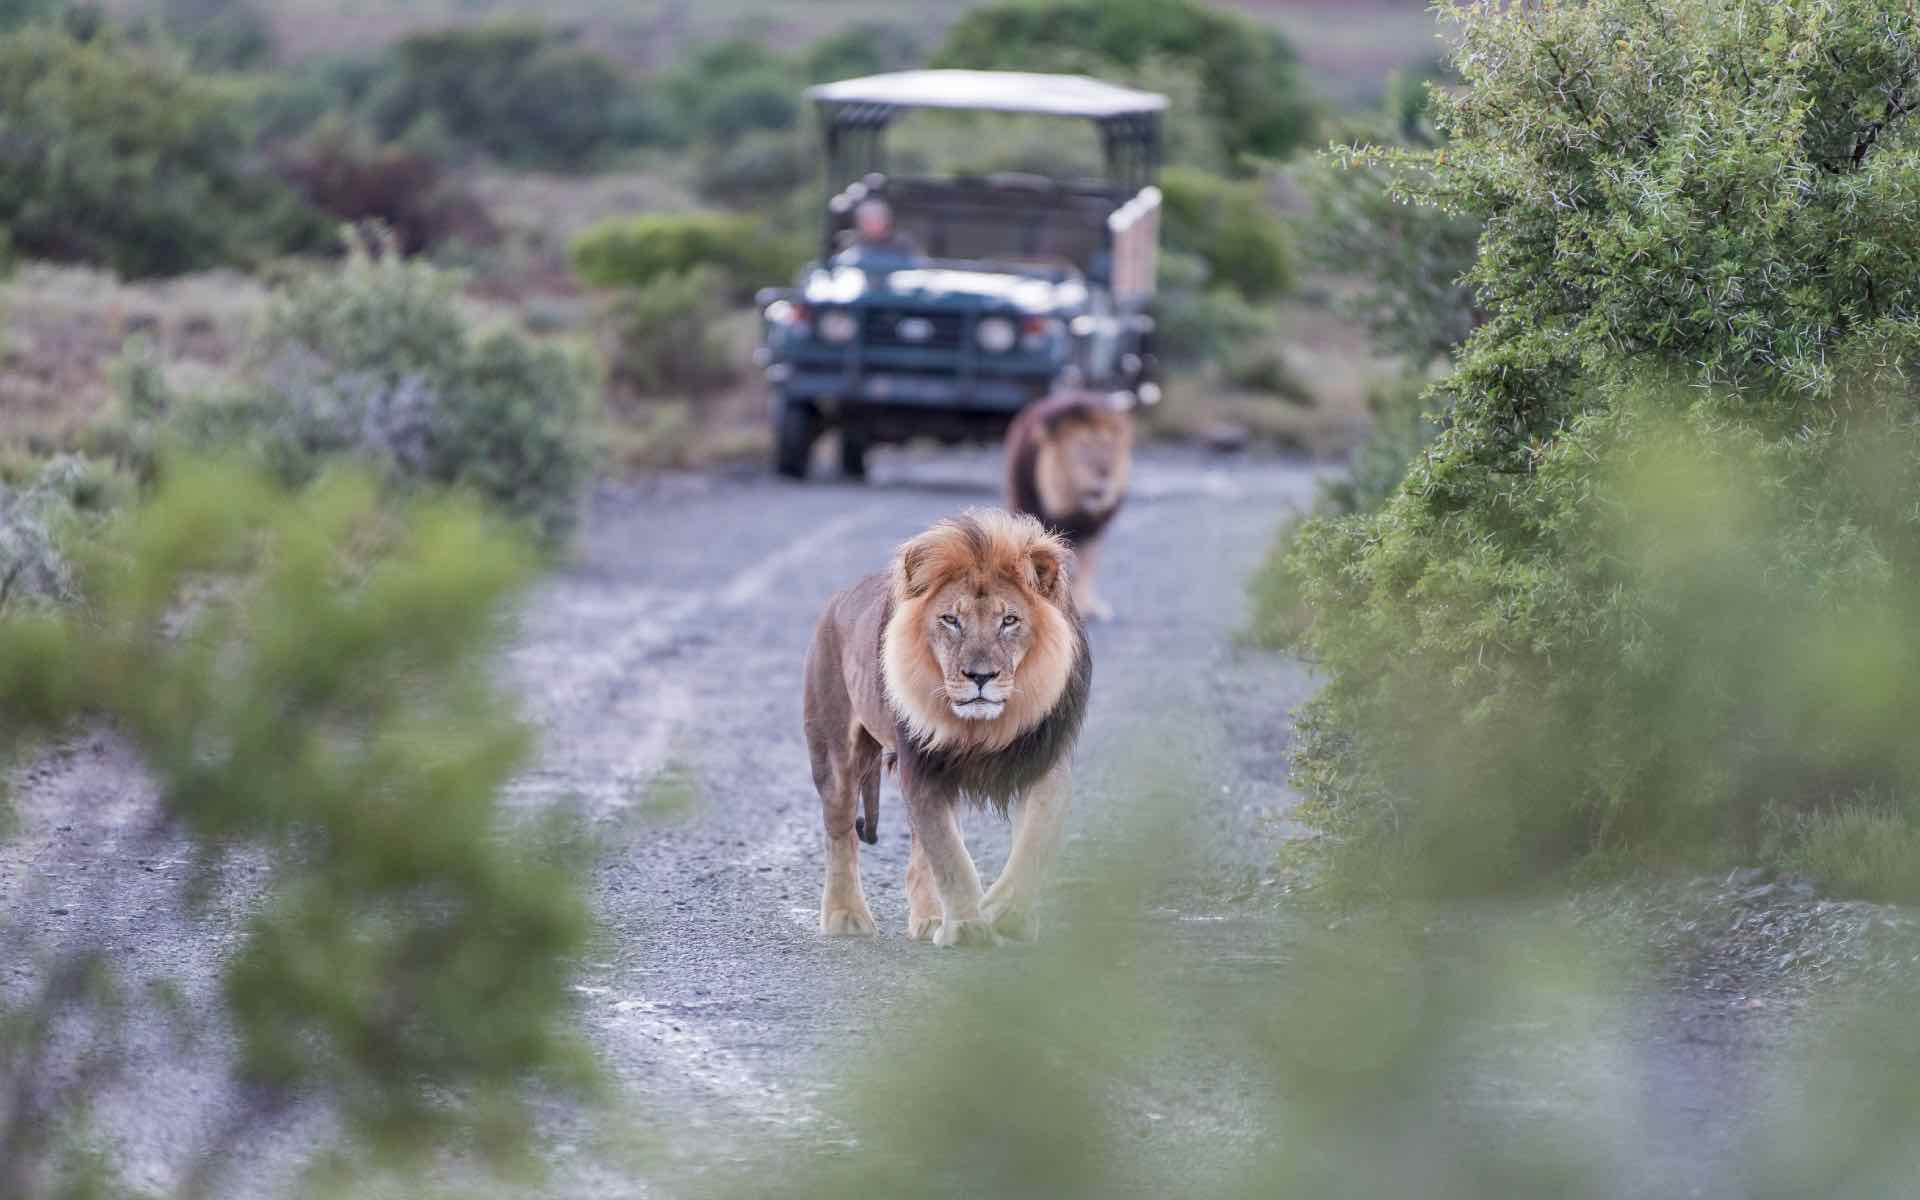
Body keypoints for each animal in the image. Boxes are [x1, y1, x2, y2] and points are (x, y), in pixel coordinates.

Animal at [801, 509, 1091, 947]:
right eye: (951, 620)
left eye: (1009, 621)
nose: (980, 676)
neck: (984, 728)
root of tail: (837, 600)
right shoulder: (922, 768)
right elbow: (950, 857)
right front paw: (969, 928)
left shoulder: (1044, 762)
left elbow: (1033, 843)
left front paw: (1004, 914)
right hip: (834, 756)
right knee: (840, 833)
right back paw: (846, 915)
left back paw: (930, 919)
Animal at [1004, 387, 1133, 621]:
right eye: (1083, 445)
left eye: (1108, 444)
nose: (1104, 473)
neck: (1076, 511)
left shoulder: (1093, 531)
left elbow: (1087, 569)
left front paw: (1088, 606)